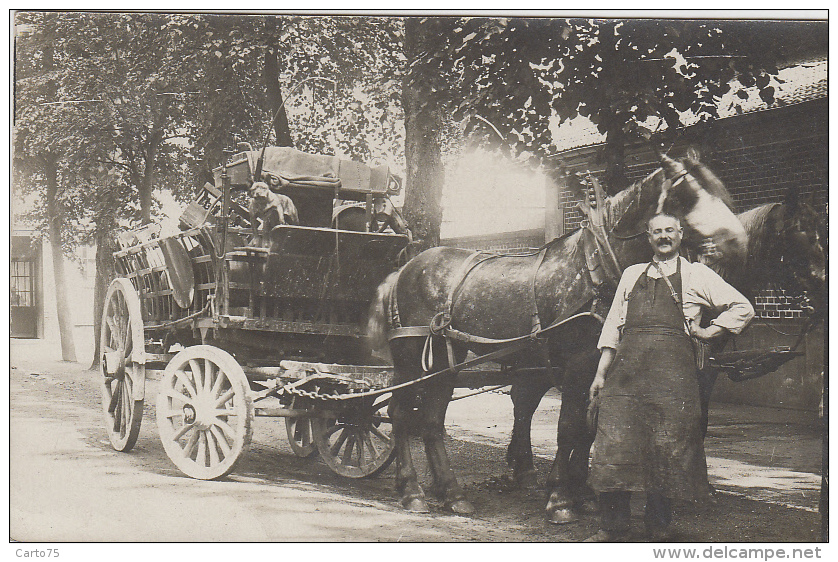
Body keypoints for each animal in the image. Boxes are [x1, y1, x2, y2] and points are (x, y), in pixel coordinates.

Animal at [368, 150, 748, 516]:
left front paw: (585, 495)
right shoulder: (576, 364)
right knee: (400, 414)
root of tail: (405, 267)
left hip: (447, 357)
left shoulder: (600, 365)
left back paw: (452, 494)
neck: (596, 269)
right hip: (411, 354)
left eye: (721, 190)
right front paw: (560, 499)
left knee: (432, 419)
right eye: (685, 195)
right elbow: (568, 428)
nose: (738, 242)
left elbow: (588, 431)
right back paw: (412, 491)